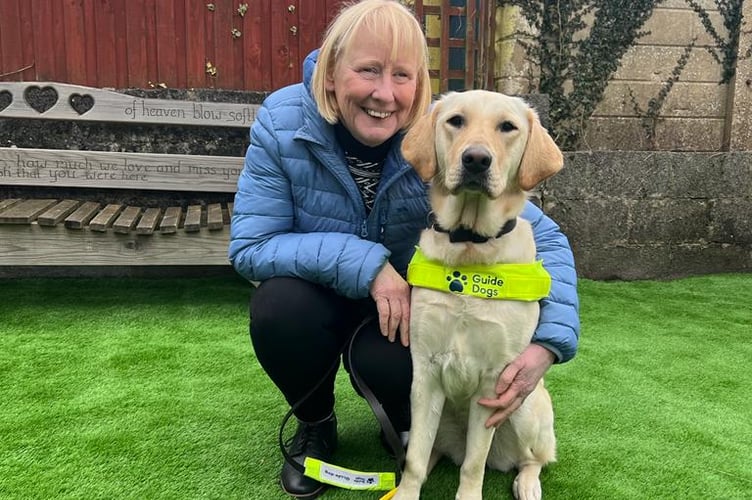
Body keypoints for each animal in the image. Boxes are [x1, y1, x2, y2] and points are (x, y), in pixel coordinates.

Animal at [396, 91, 560, 500]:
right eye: (456, 121)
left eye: (508, 127)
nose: (475, 159)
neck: (469, 246)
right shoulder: (425, 373)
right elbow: (414, 459)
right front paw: (405, 492)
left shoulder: (494, 381)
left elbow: (473, 464)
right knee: (427, 451)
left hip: (525, 407)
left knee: (532, 459)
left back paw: (527, 483)